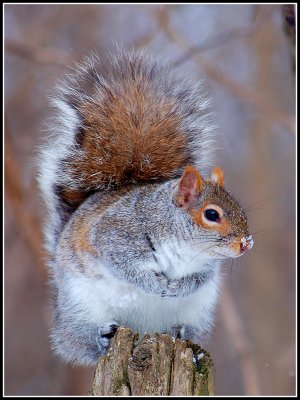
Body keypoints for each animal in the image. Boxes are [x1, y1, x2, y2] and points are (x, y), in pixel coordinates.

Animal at [37, 49, 253, 366]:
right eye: (212, 214)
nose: (246, 243)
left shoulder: (206, 267)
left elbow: (199, 279)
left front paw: (179, 287)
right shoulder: (113, 236)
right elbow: (126, 268)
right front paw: (159, 286)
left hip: (198, 313)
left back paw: (180, 335)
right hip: (80, 308)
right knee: (81, 343)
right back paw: (101, 338)